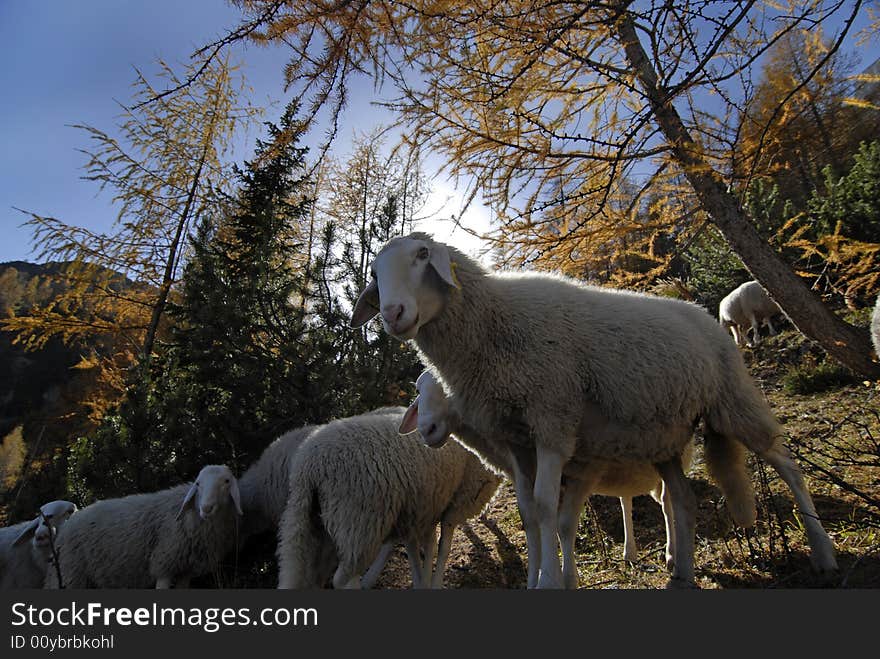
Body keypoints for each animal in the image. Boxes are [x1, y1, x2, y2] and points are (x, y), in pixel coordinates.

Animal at [45, 464, 241, 588]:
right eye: (198, 484)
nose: (206, 508)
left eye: (226, 481)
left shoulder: (185, 568)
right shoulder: (164, 563)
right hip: (70, 573)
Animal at [280, 410, 502, 592]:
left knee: (309, 575)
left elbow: (421, 549)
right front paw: (435, 582)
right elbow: (443, 548)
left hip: (306, 524)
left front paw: (422, 582)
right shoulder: (457, 502)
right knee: (343, 579)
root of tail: (310, 466)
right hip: (359, 522)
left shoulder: (421, 508)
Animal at [402, 368, 696, 592]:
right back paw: (631, 552)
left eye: (446, 386)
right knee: (629, 499)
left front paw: (567, 579)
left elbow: (564, 526)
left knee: (669, 501)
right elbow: (533, 523)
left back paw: (673, 555)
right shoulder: (524, 473)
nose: (426, 429)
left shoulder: (585, 470)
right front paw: (537, 578)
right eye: (419, 390)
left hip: (672, 452)